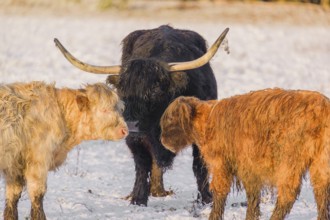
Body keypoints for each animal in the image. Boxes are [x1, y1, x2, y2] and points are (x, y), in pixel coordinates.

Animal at [0, 81, 128, 220]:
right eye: (104, 109)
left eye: (120, 109)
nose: (125, 130)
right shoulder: (38, 161)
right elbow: (37, 194)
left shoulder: (14, 166)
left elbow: (13, 196)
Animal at [54, 25, 229, 206]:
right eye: (121, 90)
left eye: (156, 90)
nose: (132, 125)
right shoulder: (134, 139)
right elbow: (142, 165)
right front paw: (137, 198)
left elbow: (199, 165)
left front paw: (206, 198)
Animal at [160, 88, 330, 220]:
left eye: (170, 119)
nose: (162, 140)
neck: (206, 122)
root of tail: (322, 108)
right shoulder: (249, 167)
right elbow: (253, 196)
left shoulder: (222, 163)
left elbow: (220, 191)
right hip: (321, 162)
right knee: (321, 191)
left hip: (289, 160)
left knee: (288, 193)